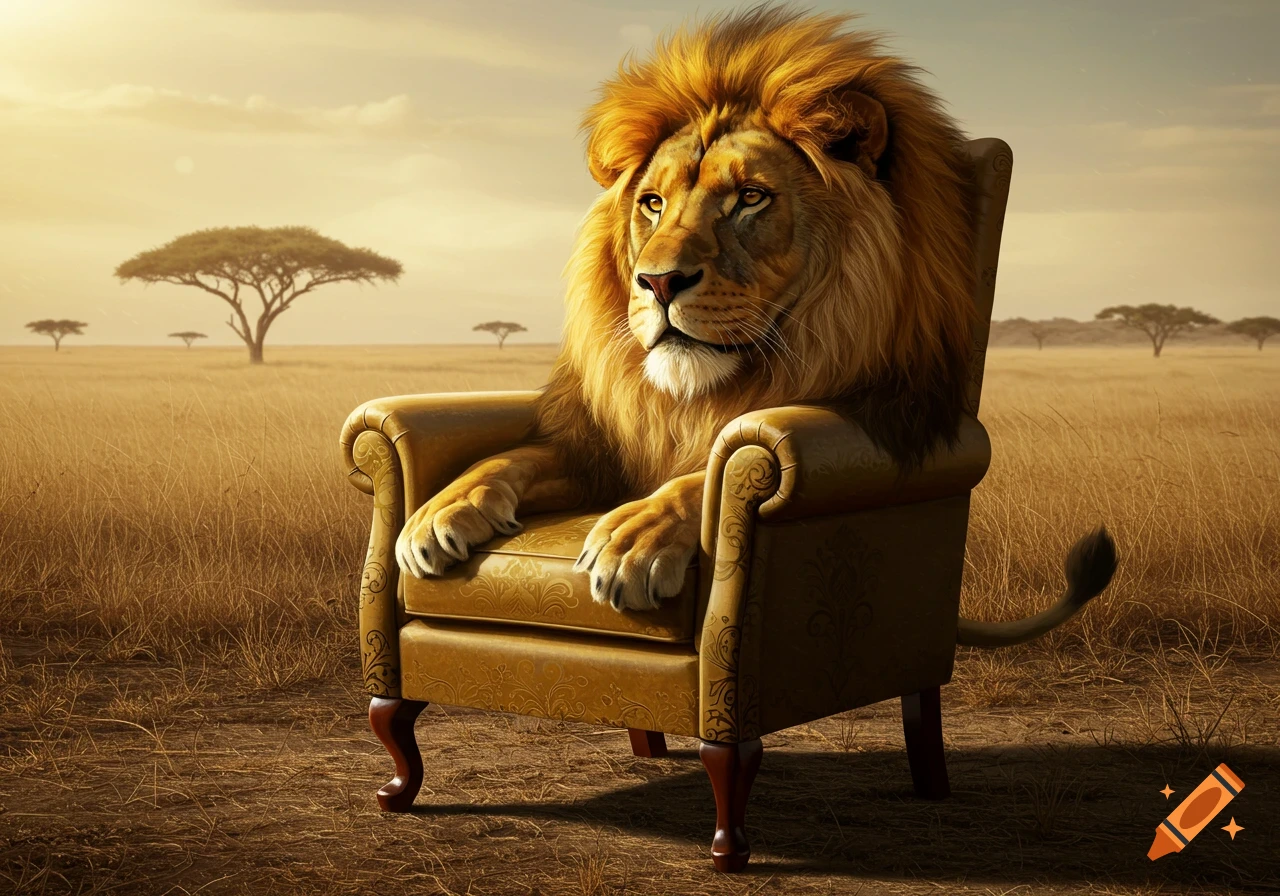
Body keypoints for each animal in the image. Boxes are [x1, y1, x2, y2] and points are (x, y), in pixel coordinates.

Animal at [395, 7, 1116, 646]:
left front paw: (633, 540)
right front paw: (439, 512)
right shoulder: (600, 452)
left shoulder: (885, 410)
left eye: (749, 198)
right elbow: (511, 454)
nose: (657, 283)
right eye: (651, 203)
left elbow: (707, 477)